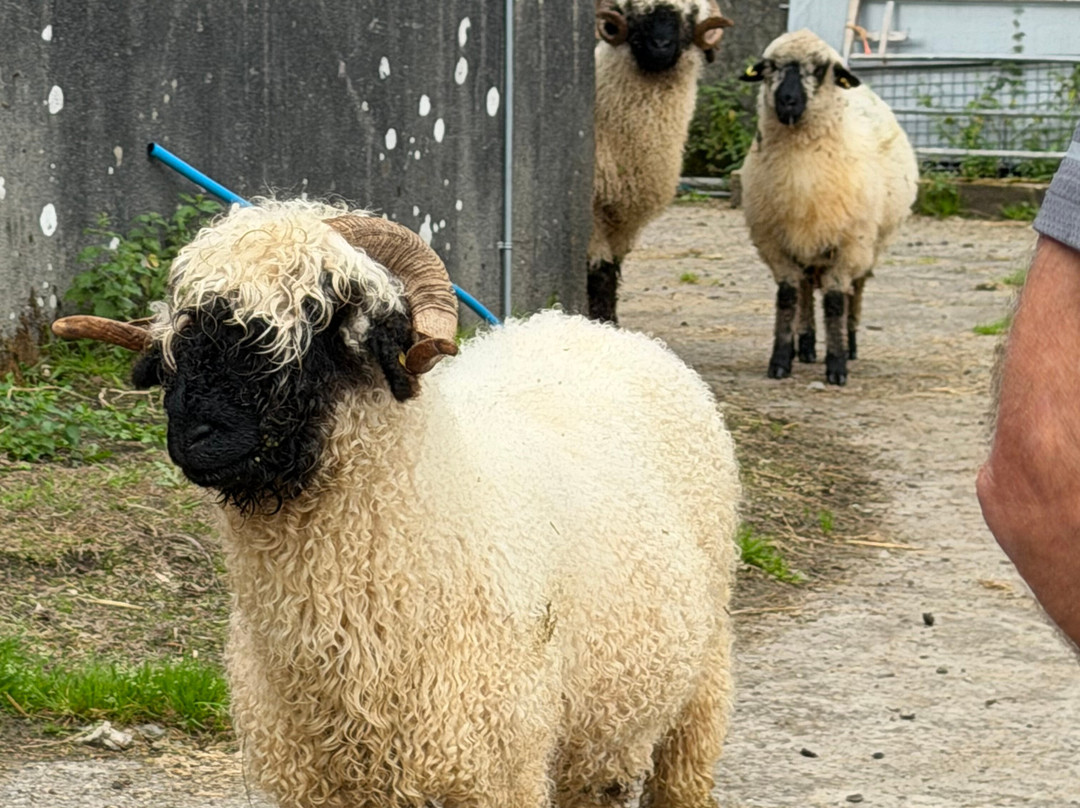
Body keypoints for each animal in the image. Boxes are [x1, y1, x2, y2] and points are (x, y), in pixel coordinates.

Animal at [56, 199, 741, 808]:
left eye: (323, 318)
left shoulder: (495, 770)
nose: (195, 434)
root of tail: (583, 326)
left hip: (700, 675)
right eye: (185, 322)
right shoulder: (319, 782)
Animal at [589, 0, 733, 323]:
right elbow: (598, 270)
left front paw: (609, 321)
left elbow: (610, 271)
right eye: (632, 11)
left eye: (689, 15)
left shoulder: (625, 218)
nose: (660, 46)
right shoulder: (593, 212)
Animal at [739, 28, 918, 385]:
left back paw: (849, 343)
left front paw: (836, 366)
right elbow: (788, 297)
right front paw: (781, 360)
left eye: (821, 69)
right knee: (806, 289)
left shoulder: (849, 244)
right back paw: (806, 344)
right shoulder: (776, 243)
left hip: (868, 245)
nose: (786, 100)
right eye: (769, 67)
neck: (801, 161)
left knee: (854, 291)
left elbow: (835, 301)